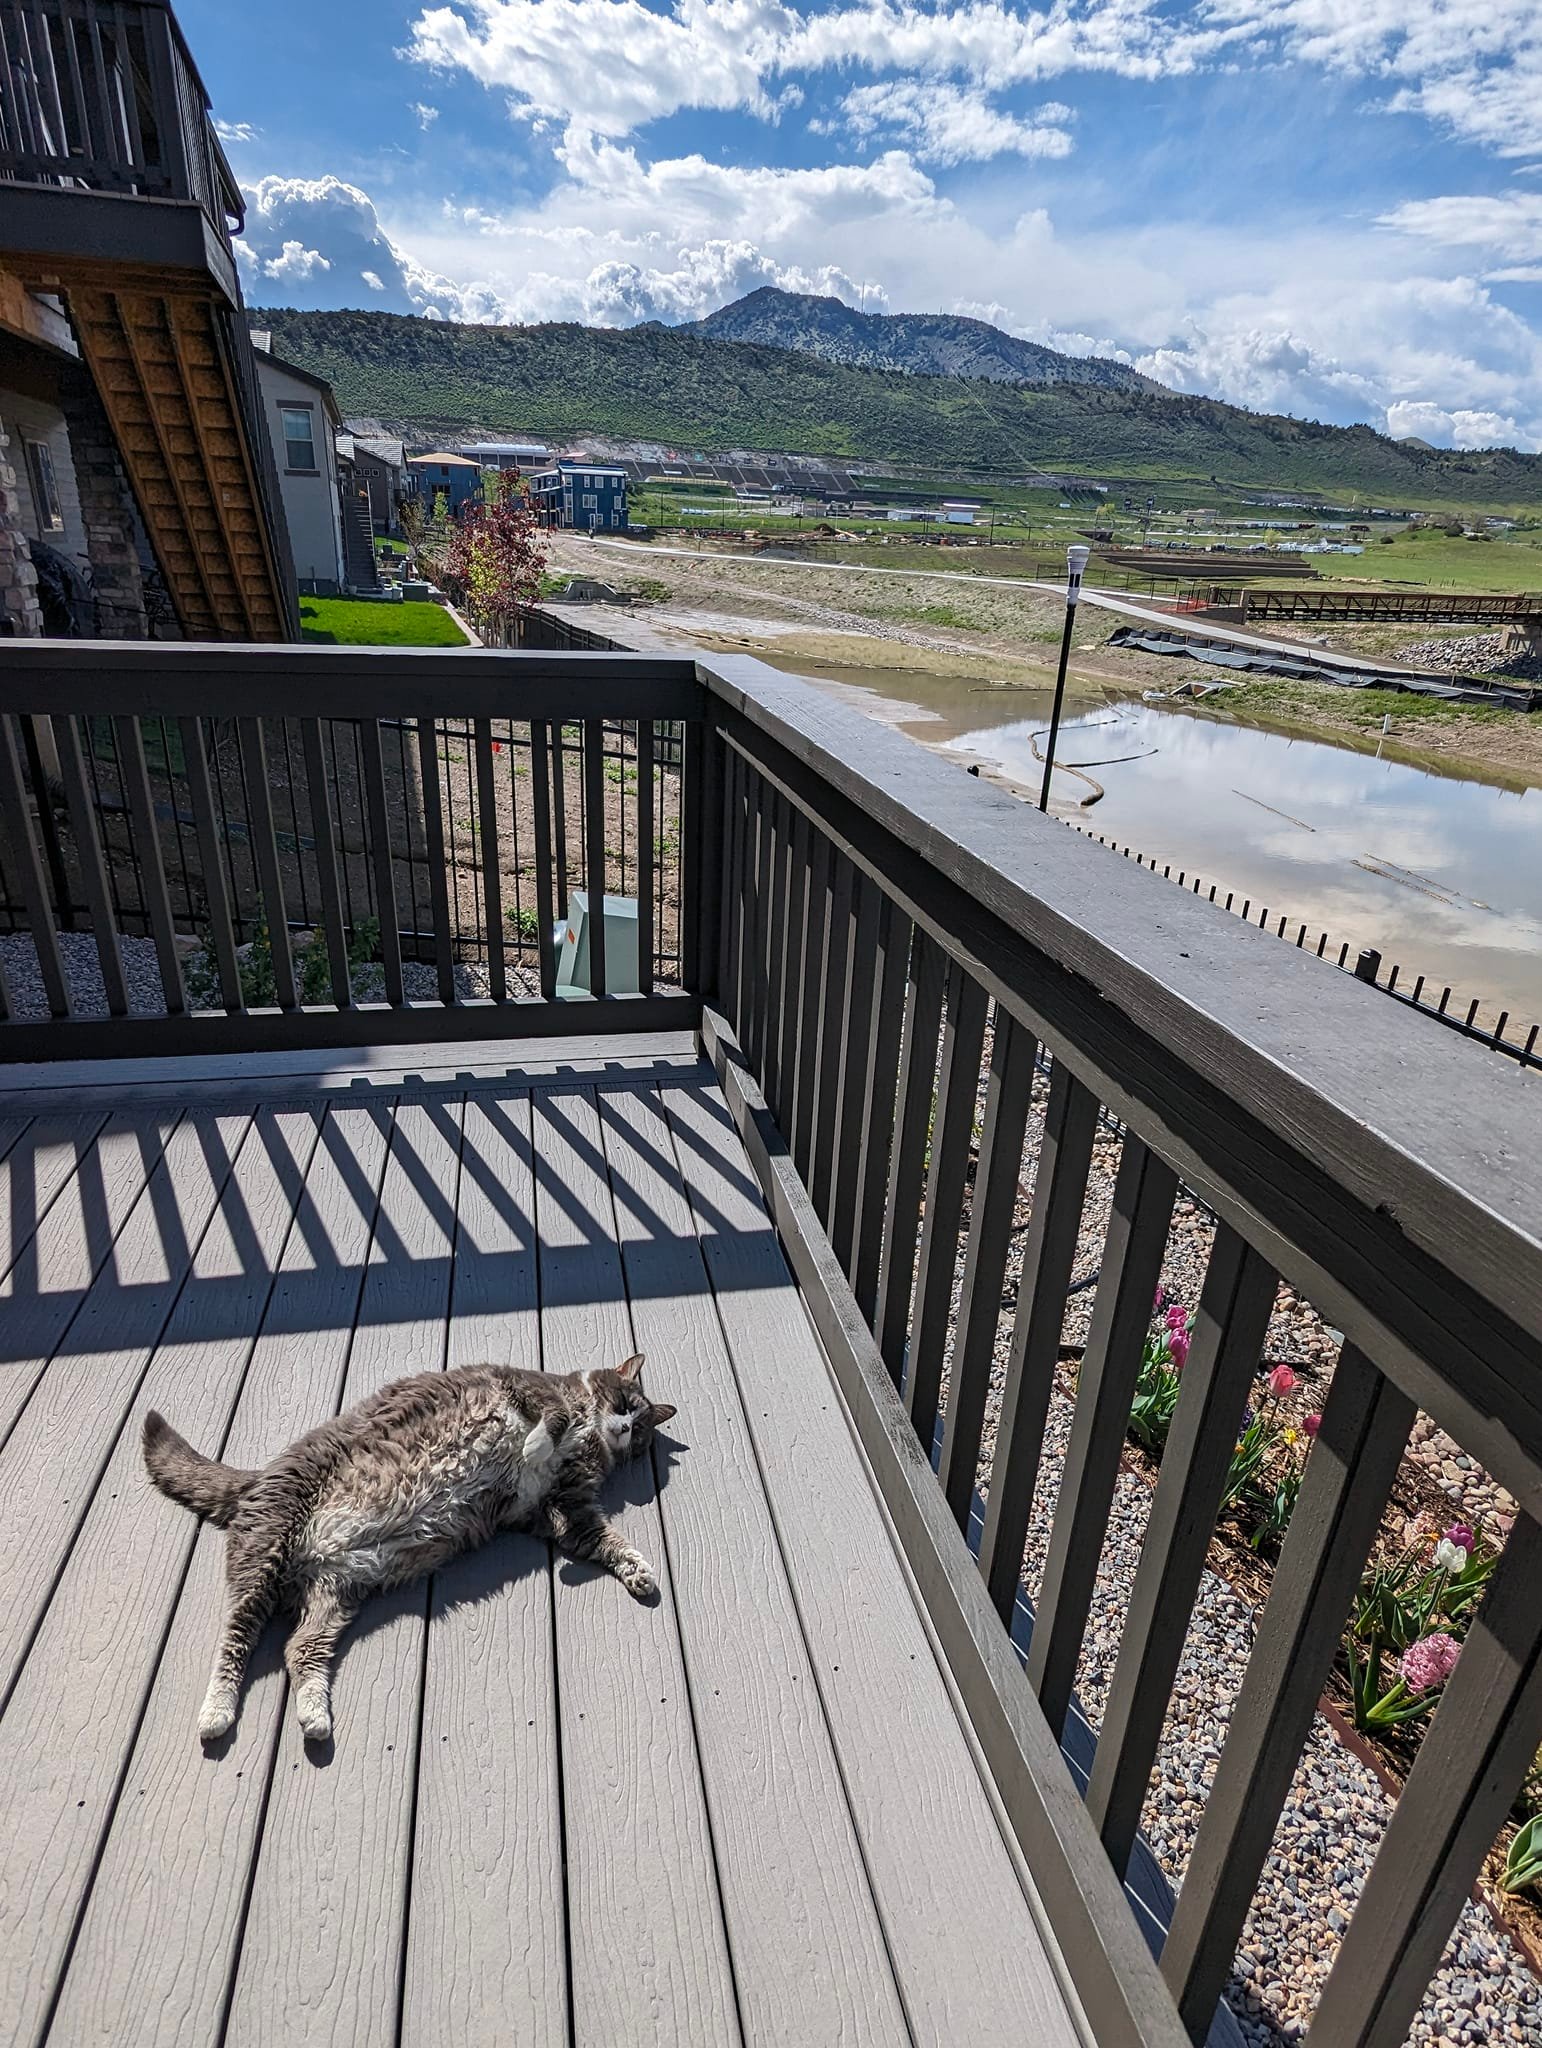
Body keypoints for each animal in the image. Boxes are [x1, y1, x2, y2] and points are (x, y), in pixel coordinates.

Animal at [142, 1353, 675, 1746]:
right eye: (625, 1401)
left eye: (641, 1428)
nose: (624, 1428)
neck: (591, 1441)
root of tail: (257, 1478)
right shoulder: (522, 1386)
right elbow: (555, 1416)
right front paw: (537, 1443)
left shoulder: (561, 1505)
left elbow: (603, 1540)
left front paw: (638, 1571)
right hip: (266, 1552)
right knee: (235, 1636)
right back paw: (217, 1711)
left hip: (335, 1591)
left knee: (299, 1646)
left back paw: (315, 1716)